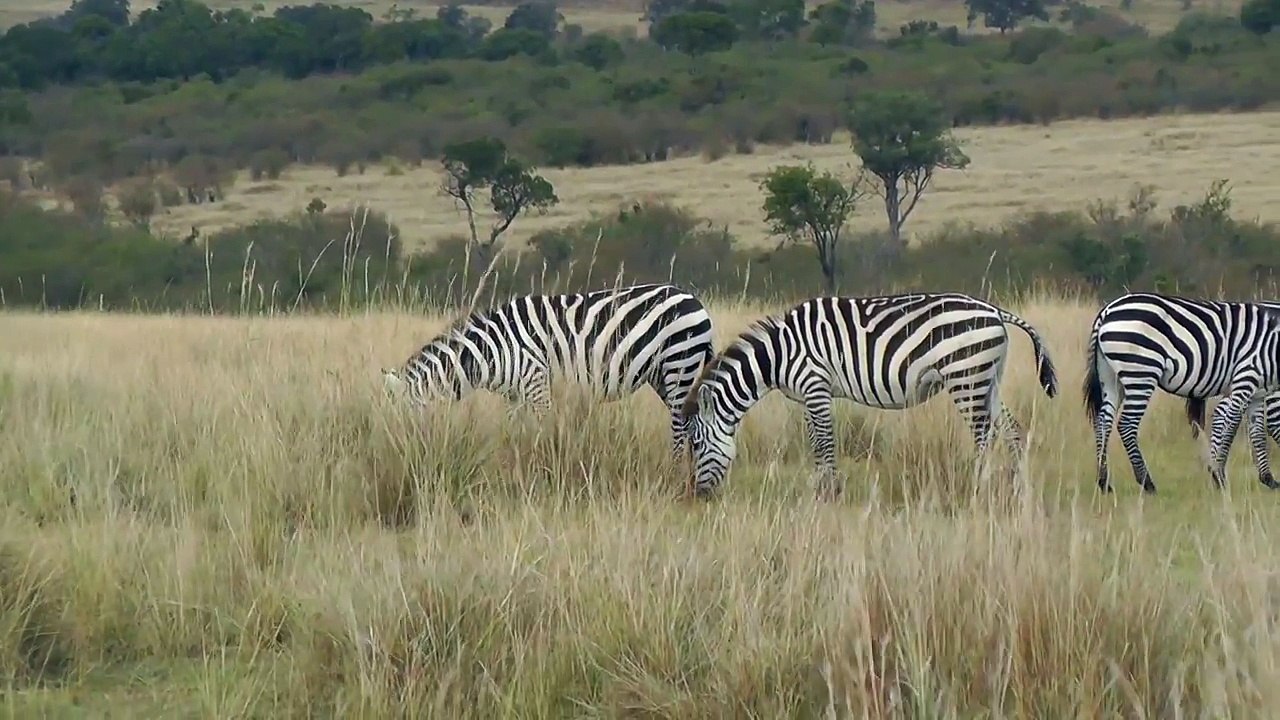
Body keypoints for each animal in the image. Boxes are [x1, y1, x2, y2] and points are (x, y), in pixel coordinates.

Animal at [382, 283, 716, 459]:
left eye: (406, 419)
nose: (402, 451)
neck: (491, 352)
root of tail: (695, 300)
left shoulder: (536, 381)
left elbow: (541, 428)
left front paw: (541, 461)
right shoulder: (514, 395)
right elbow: (513, 430)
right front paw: (512, 458)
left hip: (679, 364)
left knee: (680, 425)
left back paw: (674, 467)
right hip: (665, 376)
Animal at [679, 292, 1059, 498]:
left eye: (696, 445)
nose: (698, 494)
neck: (778, 355)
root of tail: (994, 310)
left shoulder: (816, 386)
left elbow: (824, 441)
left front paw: (831, 491)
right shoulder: (807, 395)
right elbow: (815, 440)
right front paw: (821, 488)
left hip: (966, 377)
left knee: (983, 435)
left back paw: (978, 487)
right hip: (987, 378)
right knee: (1012, 430)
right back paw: (1017, 486)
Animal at [1083, 292, 1280, 494]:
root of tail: (1108, 310)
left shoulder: (1258, 392)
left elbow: (1257, 433)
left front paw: (1268, 479)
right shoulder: (1245, 378)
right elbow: (1231, 426)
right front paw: (1219, 476)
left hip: (1111, 377)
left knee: (1103, 421)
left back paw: (1104, 481)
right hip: (1141, 371)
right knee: (1126, 424)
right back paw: (1147, 483)